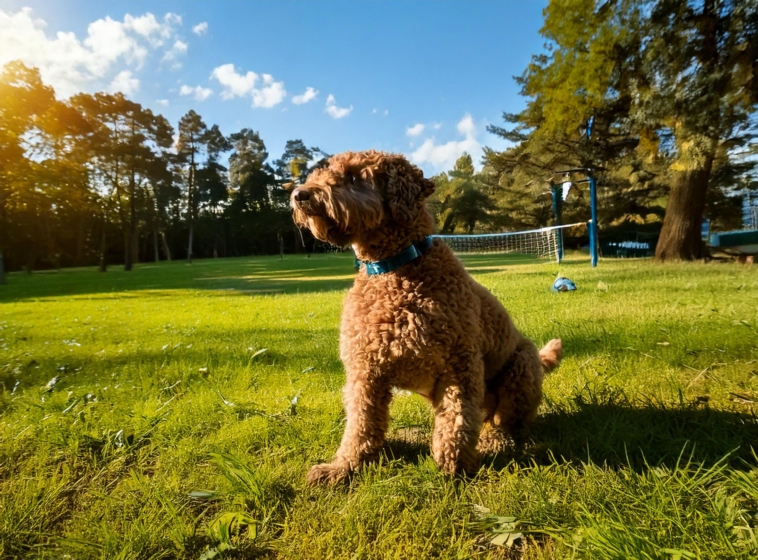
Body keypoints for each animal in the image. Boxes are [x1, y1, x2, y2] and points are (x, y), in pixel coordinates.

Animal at [290, 150, 564, 486]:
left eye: (353, 176)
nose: (299, 194)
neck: (394, 269)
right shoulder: (365, 372)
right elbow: (360, 424)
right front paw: (344, 467)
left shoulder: (459, 365)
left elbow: (456, 418)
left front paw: (454, 465)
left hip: (521, 368)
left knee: (508, 422)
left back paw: (494, 440)